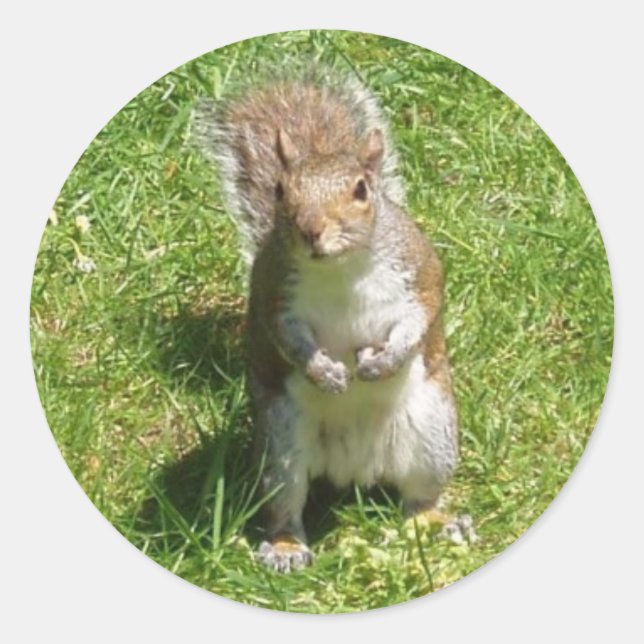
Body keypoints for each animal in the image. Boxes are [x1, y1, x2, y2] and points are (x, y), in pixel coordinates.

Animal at [194, 67, 470, 573]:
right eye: (280, 191)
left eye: (361, 189)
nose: (311, 230)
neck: (340, 269)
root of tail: (354, 469)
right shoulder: (274, 295)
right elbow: (287, 339)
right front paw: (324, 372)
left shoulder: (419, 273)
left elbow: (420, 317)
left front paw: (383, 361)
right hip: (280, 446)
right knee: (285, 506)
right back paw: (285, 548)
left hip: (433, 434)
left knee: (420, 499)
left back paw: (439, 524)